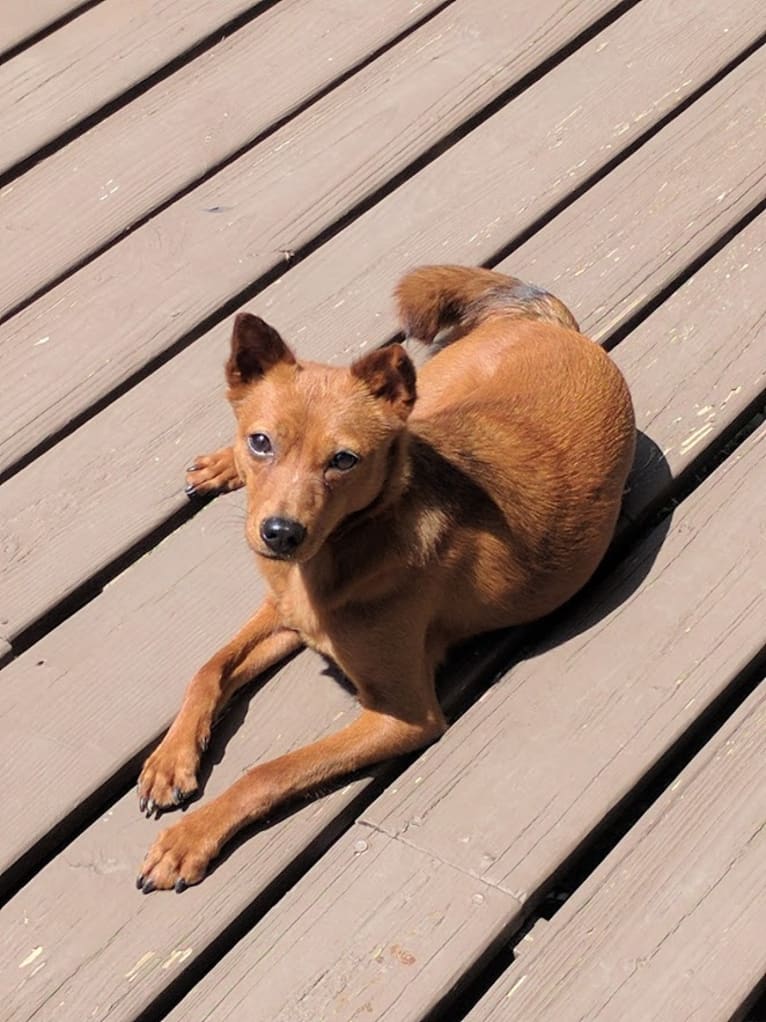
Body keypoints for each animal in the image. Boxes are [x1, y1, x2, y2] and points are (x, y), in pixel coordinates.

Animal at [136, 267, 637, 891]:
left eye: (344, 460)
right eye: (261, 442)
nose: (279, 533)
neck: (336, 554)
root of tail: (552, 325)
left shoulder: (402, 715)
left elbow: (270, 770)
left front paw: (191, 837)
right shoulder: (284, 613)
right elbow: (209, 669)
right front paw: (170, 759)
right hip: (429, 405)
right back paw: (218, 464)